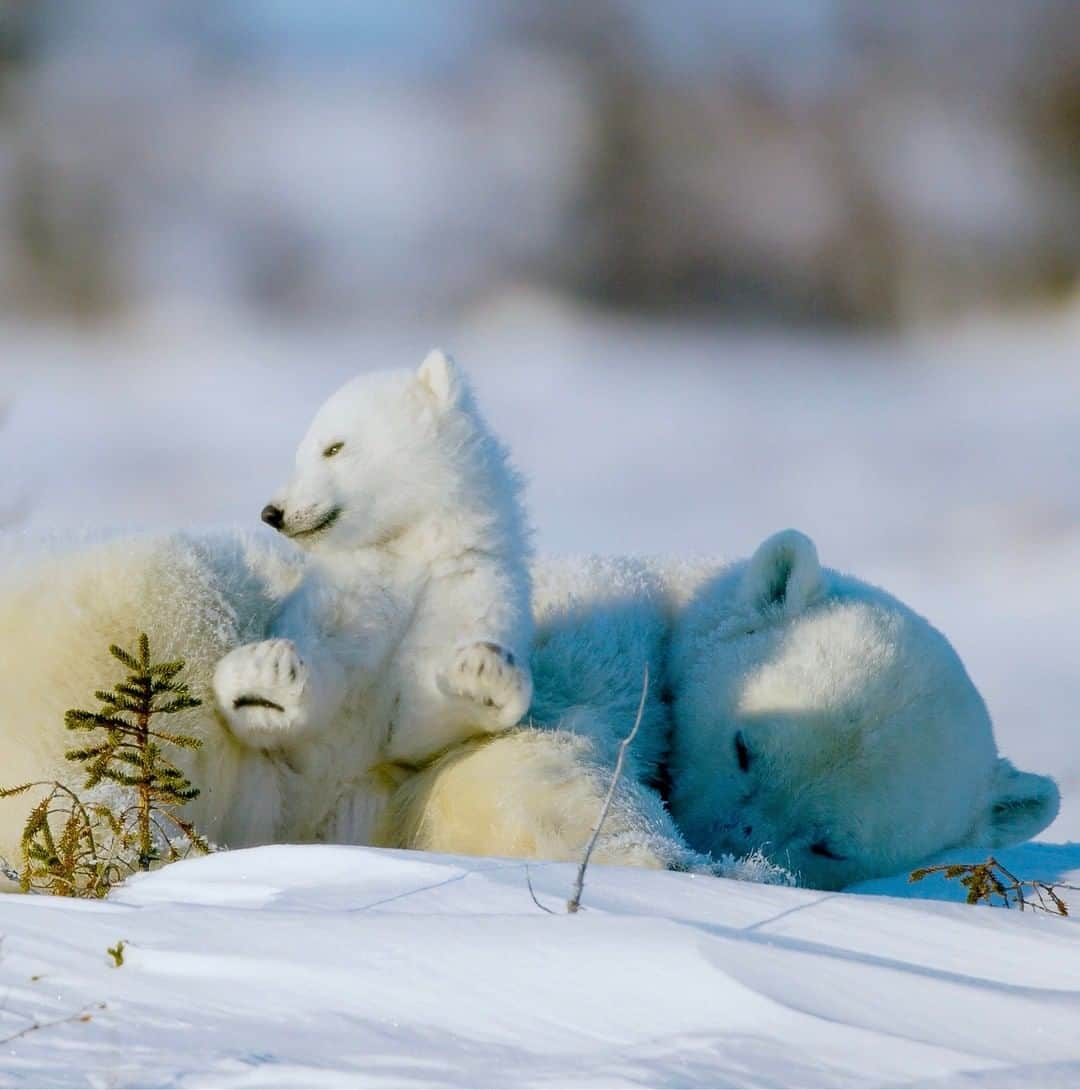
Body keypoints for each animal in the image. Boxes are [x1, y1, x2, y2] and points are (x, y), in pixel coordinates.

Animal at [0, 350, 534, 867]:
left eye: (334, 448)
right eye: (303, 451)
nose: (272, 512)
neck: (410, 551)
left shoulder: (471, 584)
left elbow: (416, 723)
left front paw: (483, 674)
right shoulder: (350, 590)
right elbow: (318, 673)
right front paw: (266, 678)